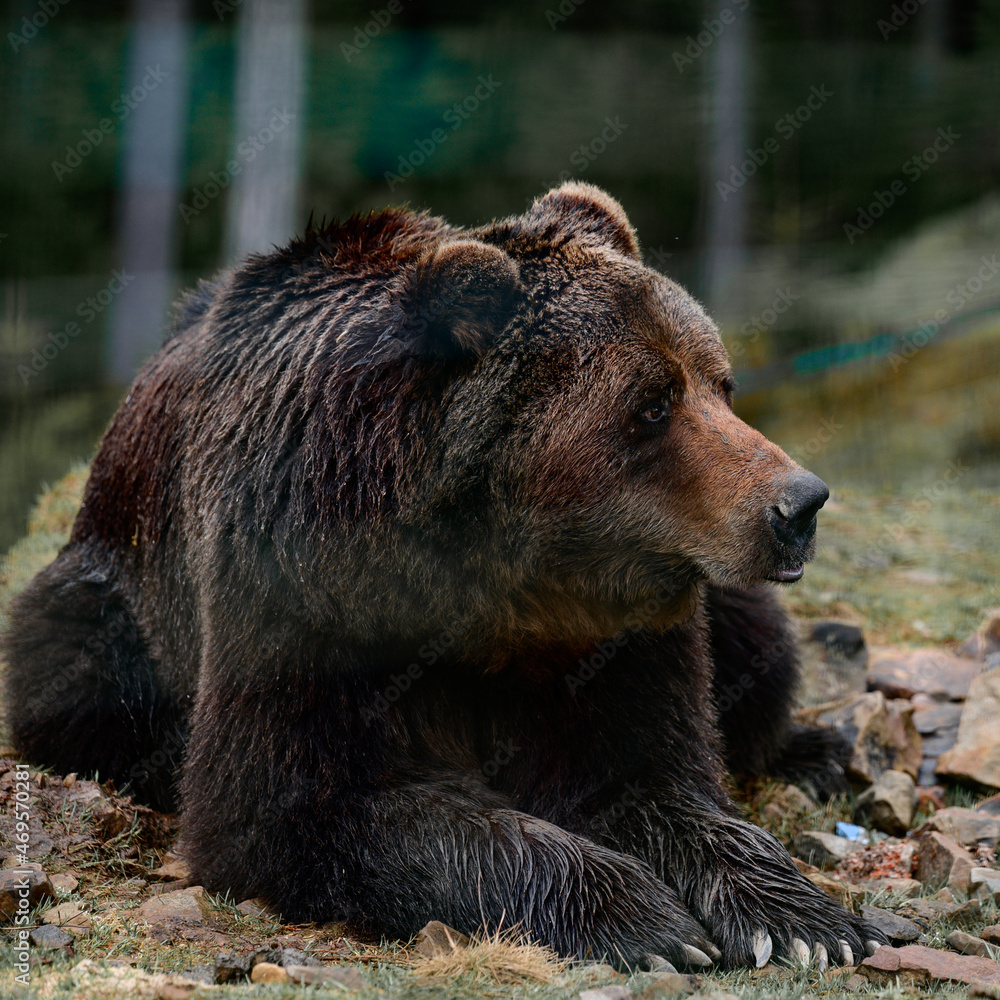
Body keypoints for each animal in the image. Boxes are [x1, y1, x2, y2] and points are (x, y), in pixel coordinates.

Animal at [3, 182, 878, 970]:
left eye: (719, 382)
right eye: (652, 403)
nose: (798, 503)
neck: (492, 583)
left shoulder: (616, 630)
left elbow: (650, 774)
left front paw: (802, 921)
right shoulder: (305, 584)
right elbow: (299, 806)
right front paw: (643, 918)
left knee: (761, 646)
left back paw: (814, 752)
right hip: (113, 594)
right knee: (77, 667)